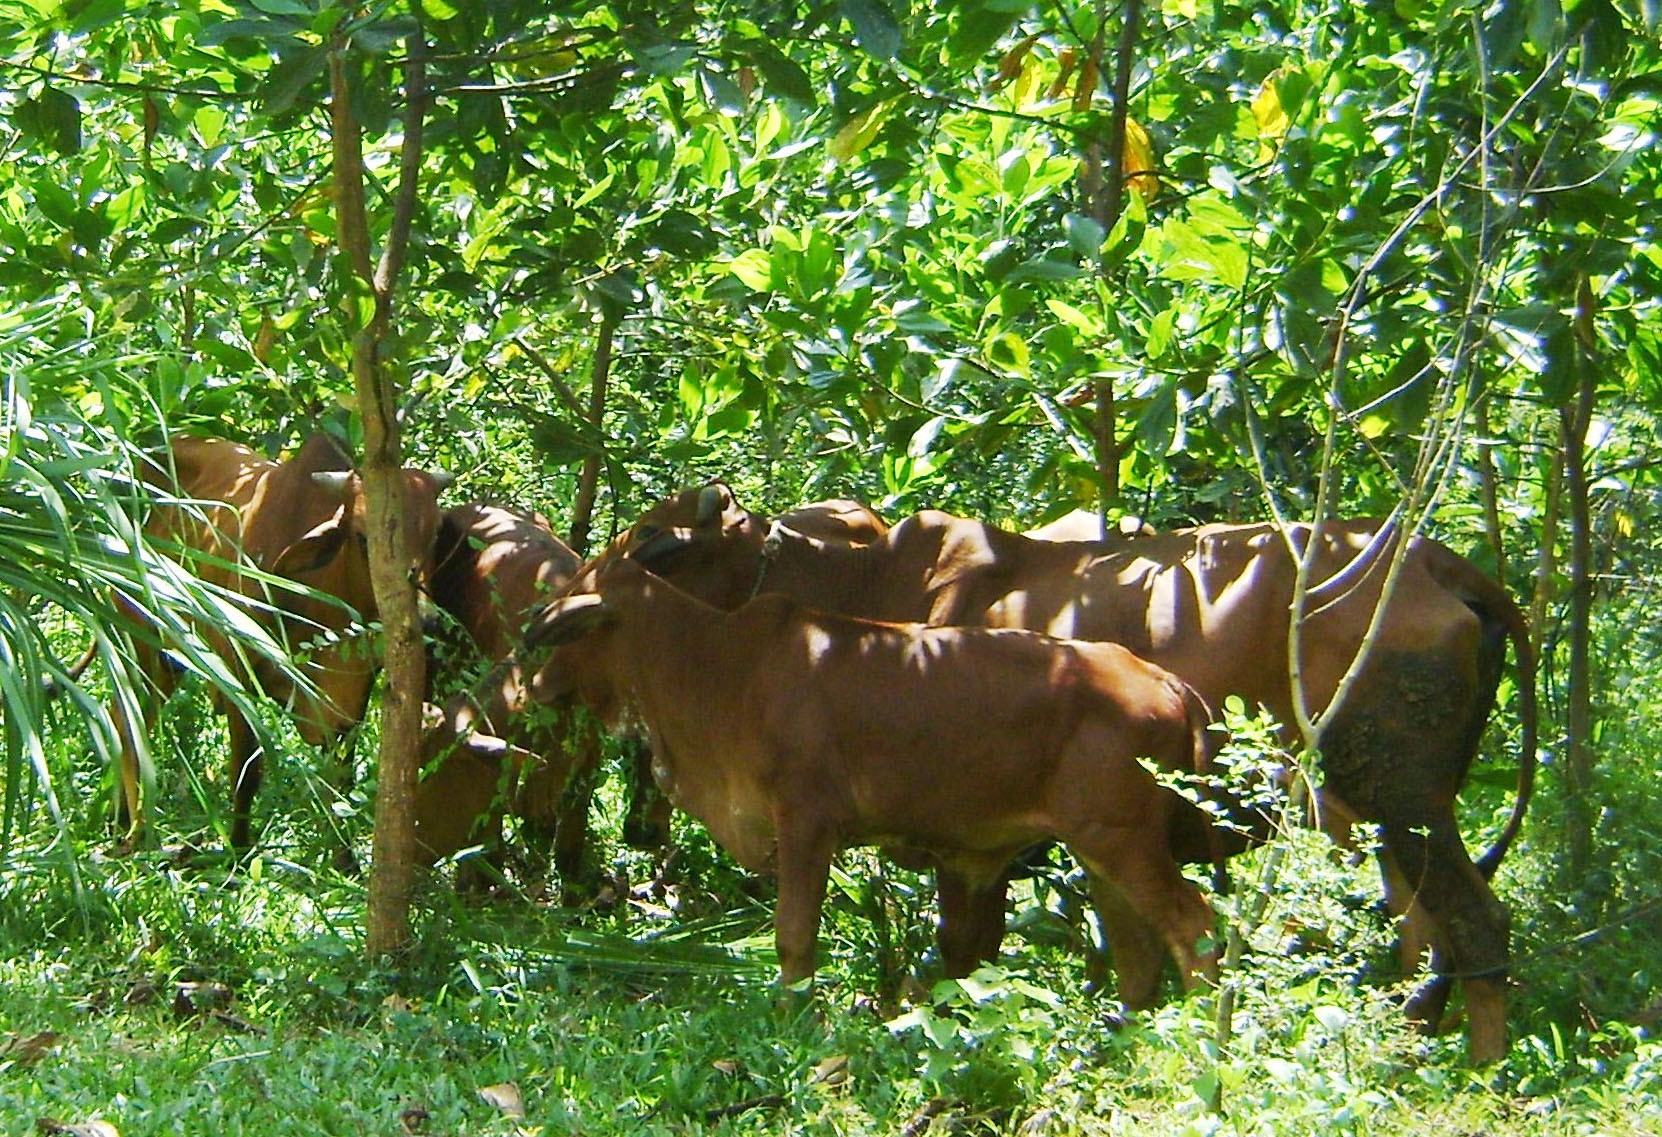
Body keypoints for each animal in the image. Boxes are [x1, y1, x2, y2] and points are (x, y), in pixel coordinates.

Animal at [113, 435, 452, 851]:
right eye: (362, 537)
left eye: (434, 533)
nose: (428, 620)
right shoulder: (240, 678)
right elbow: (247, 775)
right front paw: (240, 851)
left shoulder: (352, 698)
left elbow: (340, 780)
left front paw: (344, 857)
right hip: (135, 636)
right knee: (125, 719)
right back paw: (129, 832)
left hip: (170, 657)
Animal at [525, 558, 1216, 997]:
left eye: (572, 627)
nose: (534, 683)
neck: (719, 666)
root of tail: (1166, 681)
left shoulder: (806, 820)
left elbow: (794, 935)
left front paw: (795, 1011)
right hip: (1100, 851)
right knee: (1136, 947)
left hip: (1119, 834)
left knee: (1193, 927)